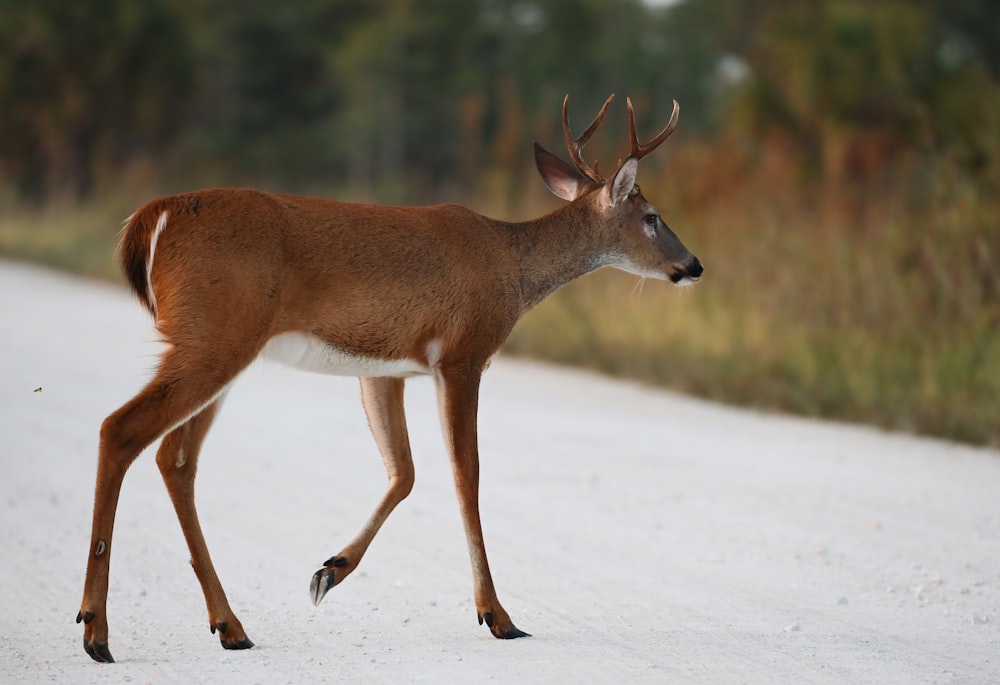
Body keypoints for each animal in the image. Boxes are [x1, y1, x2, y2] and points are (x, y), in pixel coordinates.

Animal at [76, 93, 704, 660]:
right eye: (652, 217)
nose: (694, 264)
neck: (510, 266)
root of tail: (152, 219)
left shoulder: (385, 366)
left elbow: (403, 472)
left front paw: (329, 570)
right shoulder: (461, 354)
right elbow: (466, 475)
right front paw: (496, 615)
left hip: (217, 347)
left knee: (175, 458)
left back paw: (229, 626)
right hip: (212, 338)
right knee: (120, 429)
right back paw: (96, 630)